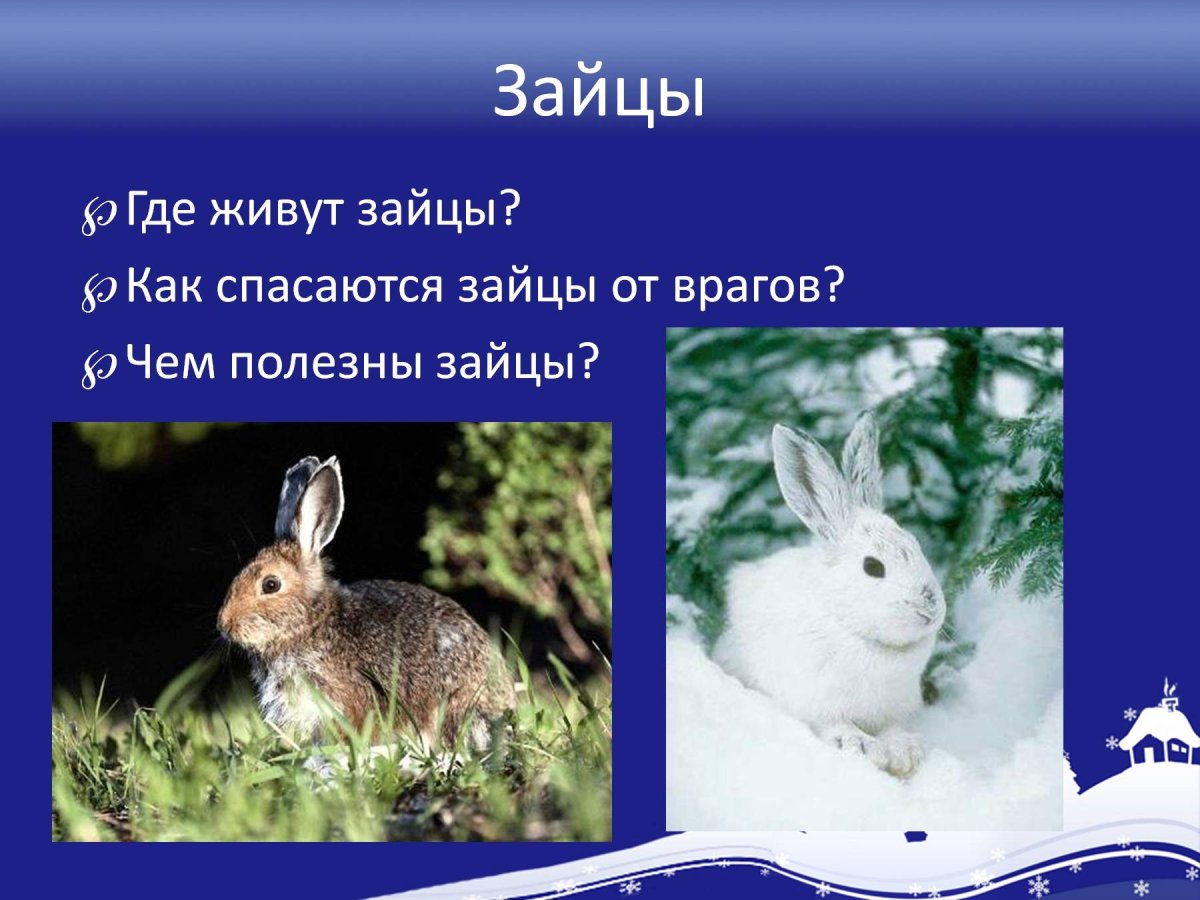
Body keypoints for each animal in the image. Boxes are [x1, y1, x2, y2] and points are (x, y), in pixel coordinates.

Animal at [714, 412, 945, 778]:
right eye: (872, 567)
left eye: (917, 546)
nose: (930, 609)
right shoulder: (817, 702)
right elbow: (835, 725)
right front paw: (862, 747)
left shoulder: (895, 709)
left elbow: (893, 728)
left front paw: (905, 754)